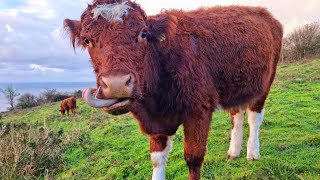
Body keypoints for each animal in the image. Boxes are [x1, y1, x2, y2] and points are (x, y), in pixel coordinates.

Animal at [63, 0, 282, 179]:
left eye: (143, 34)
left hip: (265, 84)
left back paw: (252, 153)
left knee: (254, 117)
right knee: (236, 116)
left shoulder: (198, 112)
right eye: (87, 40)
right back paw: (233, 152)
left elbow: (193, 158)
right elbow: (157, 160)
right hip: (235, 88)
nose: (116, 83)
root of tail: (263, 12)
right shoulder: (157, 124)